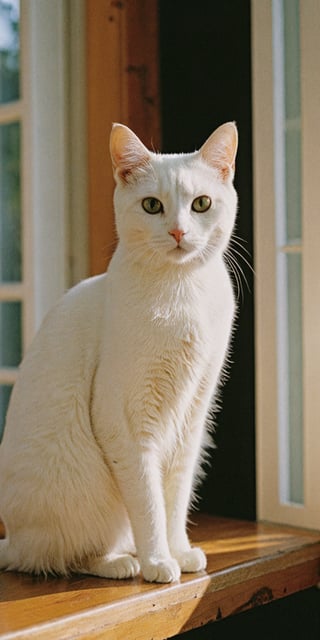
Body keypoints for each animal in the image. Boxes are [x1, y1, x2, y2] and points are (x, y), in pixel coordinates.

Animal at [0, 122, 238, 584]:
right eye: (152, 206)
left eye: (201, 204)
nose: (178, 232)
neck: (182, 294)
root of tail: (12, 538)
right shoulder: (125, 422)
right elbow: (147, 503)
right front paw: (159, 562)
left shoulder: (191, 418)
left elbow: (174, 501)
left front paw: (179, 552)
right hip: (82, 491)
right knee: (60, 557)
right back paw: (124, 563)